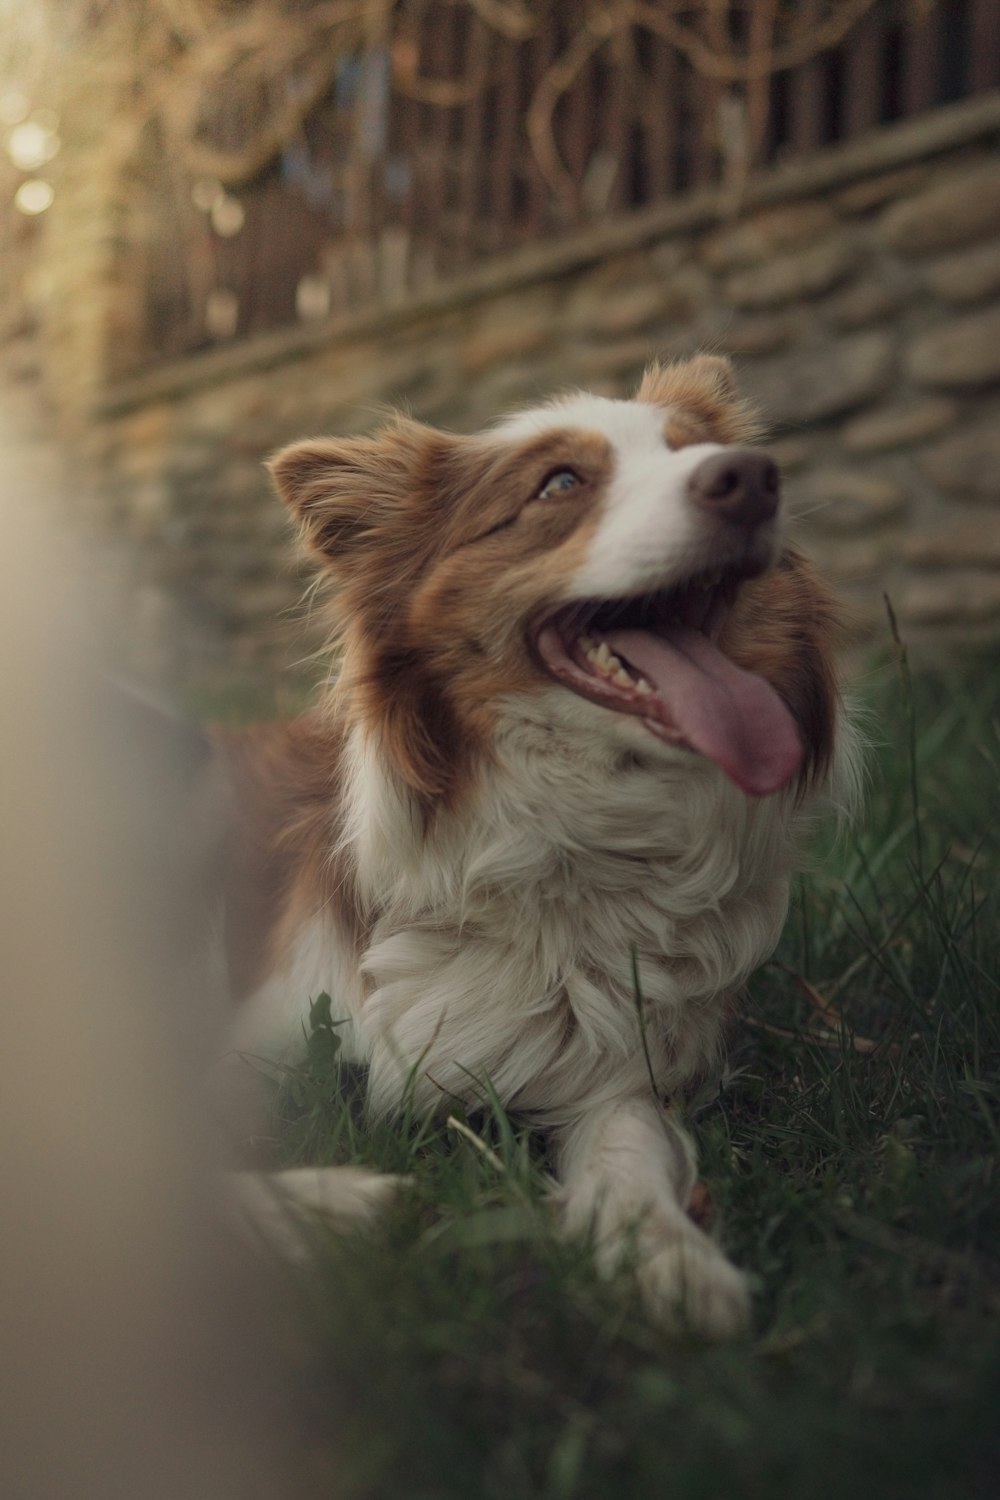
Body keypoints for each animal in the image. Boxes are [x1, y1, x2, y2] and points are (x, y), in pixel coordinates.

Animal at [212, 360, 863, 1338]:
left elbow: (629, 1151)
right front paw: (328, 1204)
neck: (554, 842)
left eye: (695, 449)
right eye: (559, 484)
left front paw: (667, 1259)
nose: (753, 478)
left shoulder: (619, 1061)